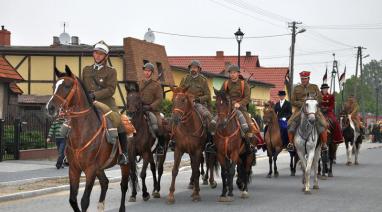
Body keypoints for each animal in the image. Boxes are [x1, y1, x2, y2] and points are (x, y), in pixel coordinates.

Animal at [45, 65, 136, 211]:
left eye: (67, 86)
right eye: (54, 86)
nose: (50, 108)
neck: (82, 131)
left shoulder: (90, 169)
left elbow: (84, 201)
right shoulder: (74, 169)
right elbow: (73, 199)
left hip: (125, 164)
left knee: (124, 185)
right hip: (100, 168)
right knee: (105, 182)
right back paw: (101, 205)